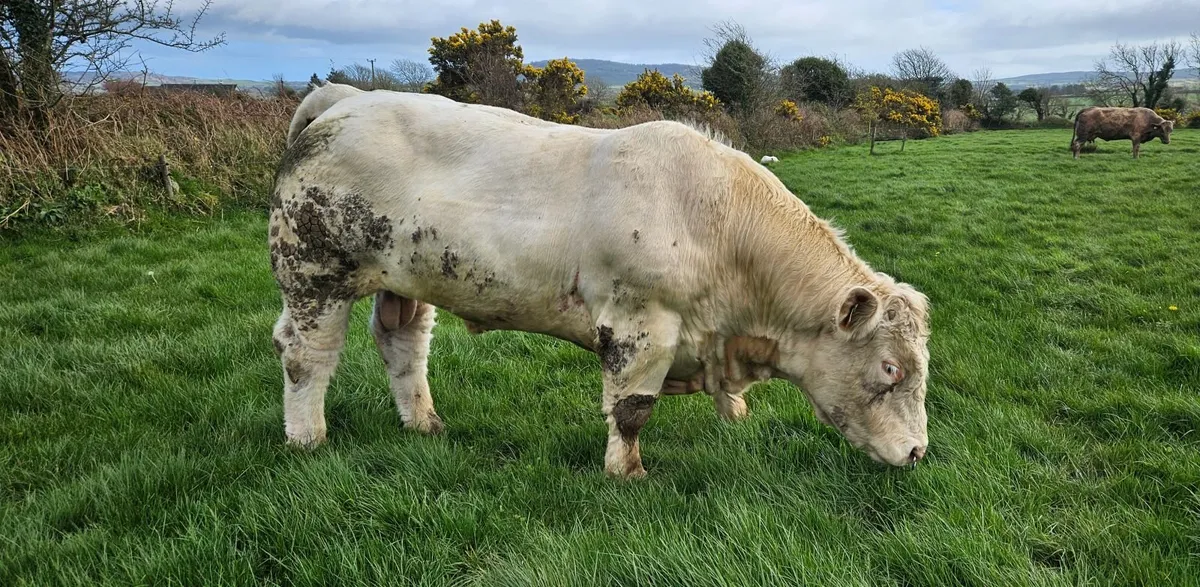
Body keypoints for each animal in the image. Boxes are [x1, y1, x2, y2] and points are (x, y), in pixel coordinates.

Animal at [269, 83, 932, 479]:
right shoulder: (641, 324)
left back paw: (425, 423)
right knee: (304, 355)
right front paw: (627, 473)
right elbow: (631, 409)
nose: (919, 451)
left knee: (402, 345)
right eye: (890, 369)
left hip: (405, 278)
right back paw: (307, 438)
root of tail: (345, 96)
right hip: (312, 272)